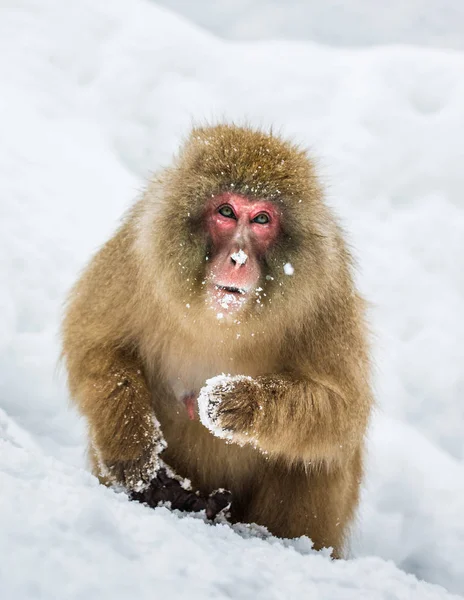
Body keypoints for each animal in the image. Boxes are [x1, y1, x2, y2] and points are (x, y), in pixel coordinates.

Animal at [61, 125, 374, 556]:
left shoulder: (326, 292)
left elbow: (343, 411)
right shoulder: (136, 255)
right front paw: (133, 446)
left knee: (317, 455)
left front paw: (243, 403)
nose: (238, 258)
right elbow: (94, 343)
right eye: (226, 212)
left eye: (261, 219)